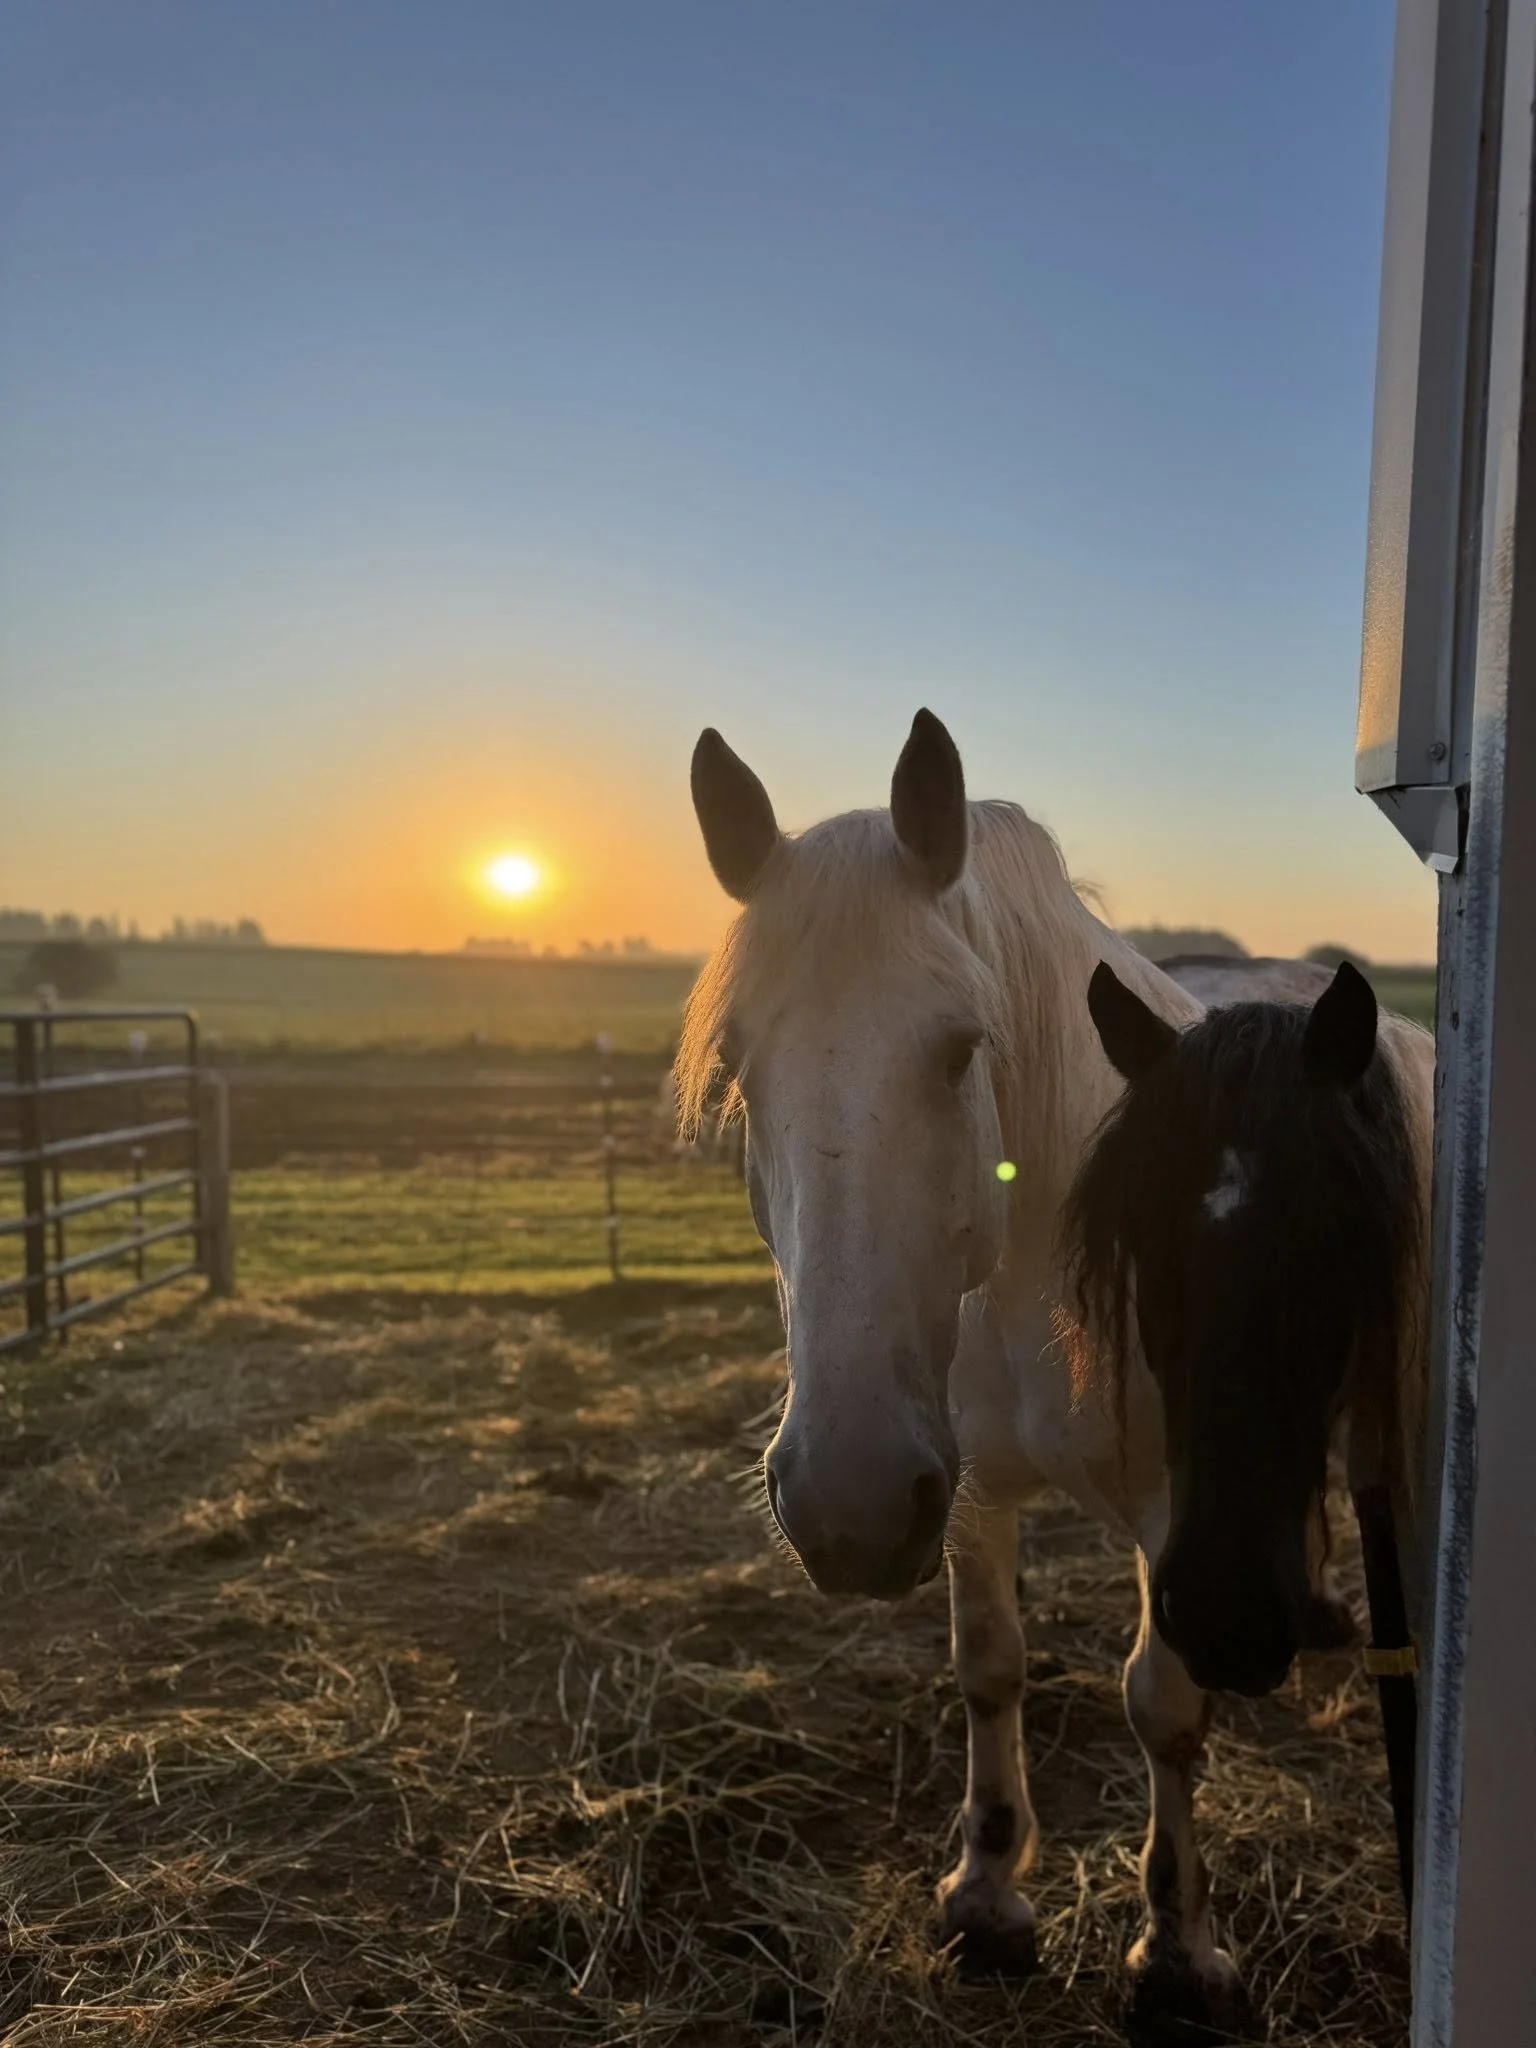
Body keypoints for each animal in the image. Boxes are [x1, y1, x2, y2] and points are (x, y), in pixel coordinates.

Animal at [676, 708, 1350, 2036]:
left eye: (959, 1049)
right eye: (736, 1060)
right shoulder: (966, 1486)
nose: (844, 1505)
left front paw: (1177, 1952)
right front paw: (986, 1891)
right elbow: (988, 1665)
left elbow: (1164, 1703)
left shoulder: (1176, 1504)